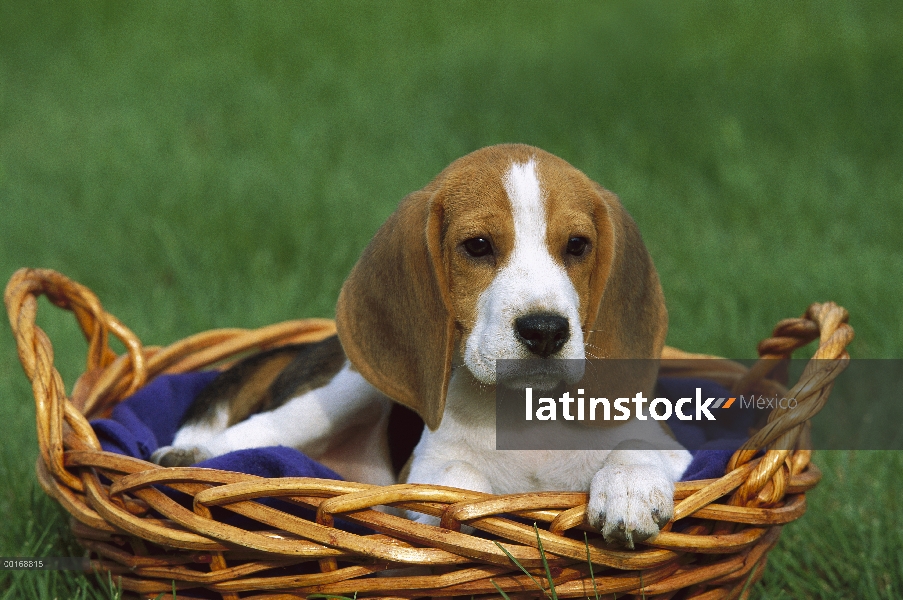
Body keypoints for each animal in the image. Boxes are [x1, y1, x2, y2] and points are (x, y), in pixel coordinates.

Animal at [154, 145, 692, 548]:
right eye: (477, 246)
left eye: (577, 245)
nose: (544, 330)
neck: (522, 412)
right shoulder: (422, 466)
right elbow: (458, 477)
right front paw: (457, 507)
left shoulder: (675, 448)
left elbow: (637, 449)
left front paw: (628, 489)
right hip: (342, 392)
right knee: (248, 439)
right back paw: (181, 455)